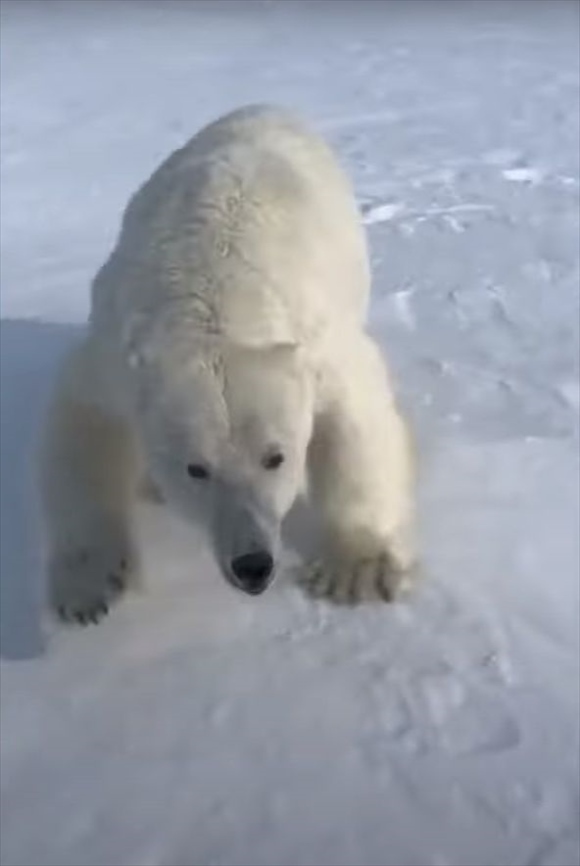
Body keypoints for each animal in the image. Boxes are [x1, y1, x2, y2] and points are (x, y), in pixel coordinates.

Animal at [38, 106, 414, 620]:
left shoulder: (314, 344)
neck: (214, 295)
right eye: (196, 469)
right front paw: (90, 585)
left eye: (276, 457)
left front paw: (356, 569)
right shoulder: (118, 357)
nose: (252, 565)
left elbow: (356, 413)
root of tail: (265, 107)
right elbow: (83, 419)